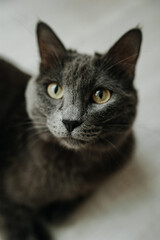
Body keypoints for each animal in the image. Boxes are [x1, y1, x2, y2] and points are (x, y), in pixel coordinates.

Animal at [0, 21, 142, 239]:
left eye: (101, 95)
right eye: (55, 89)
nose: (70, 121)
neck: (75, 165)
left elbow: (86, 189)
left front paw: (57, 211)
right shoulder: (8, 201)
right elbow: (20, 226)